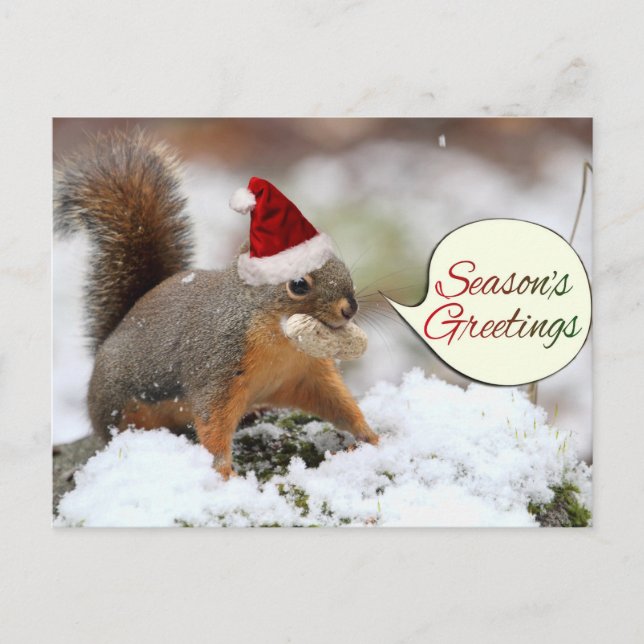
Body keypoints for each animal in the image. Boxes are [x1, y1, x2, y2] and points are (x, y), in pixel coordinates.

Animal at [54, 130, 379, 478]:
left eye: (341, 264)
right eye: (298, 285)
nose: (350, 308)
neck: (279, 339)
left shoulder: (307, 374)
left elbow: (338, 402)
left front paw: (371, 436)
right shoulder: (218, 366)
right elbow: (214, 423)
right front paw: (225, 474)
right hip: (121, 406)